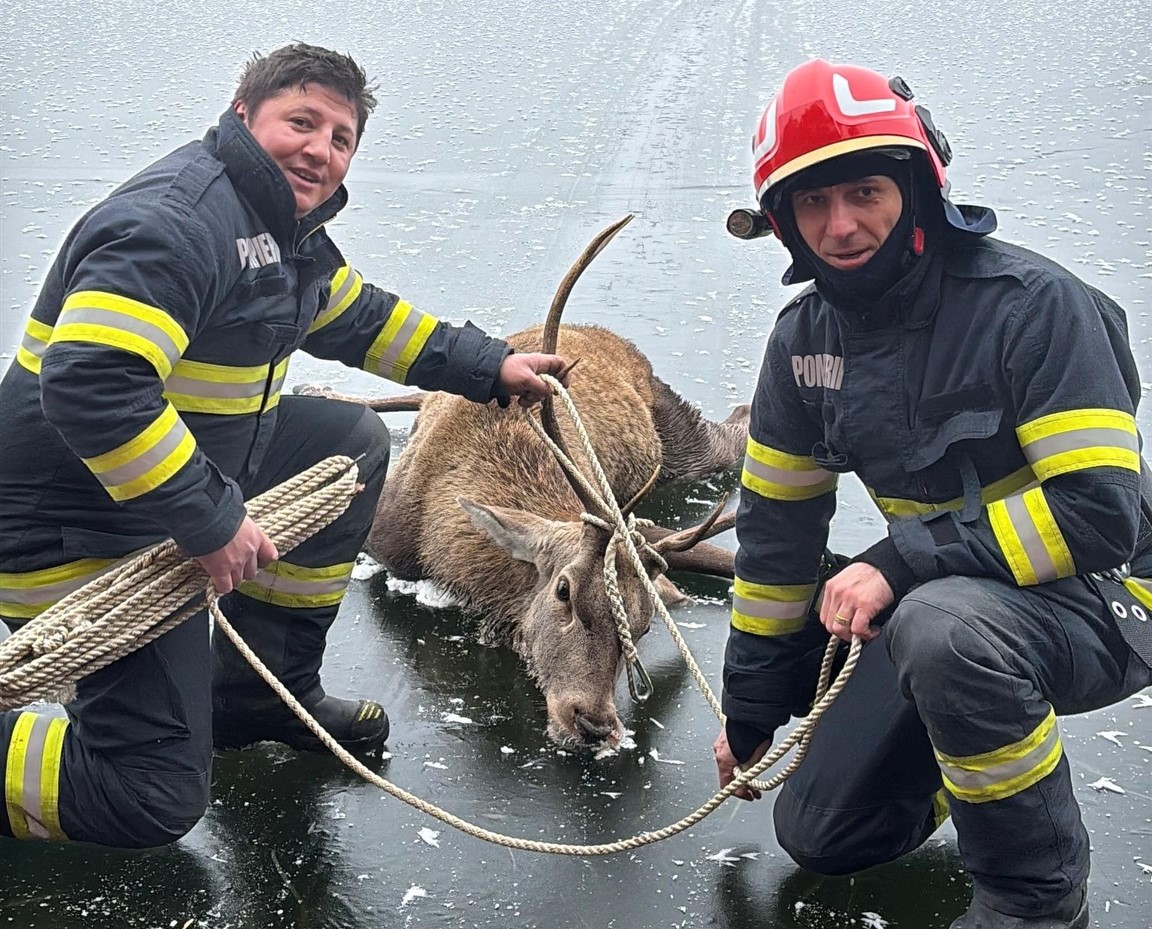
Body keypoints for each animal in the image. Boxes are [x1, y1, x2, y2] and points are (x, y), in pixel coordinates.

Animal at [297, 217, 746, 751]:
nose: (594, 723)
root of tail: (606, 335)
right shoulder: (385, 533)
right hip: (674, 427)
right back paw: (318, 388)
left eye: (642, 627)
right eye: (564, 592)